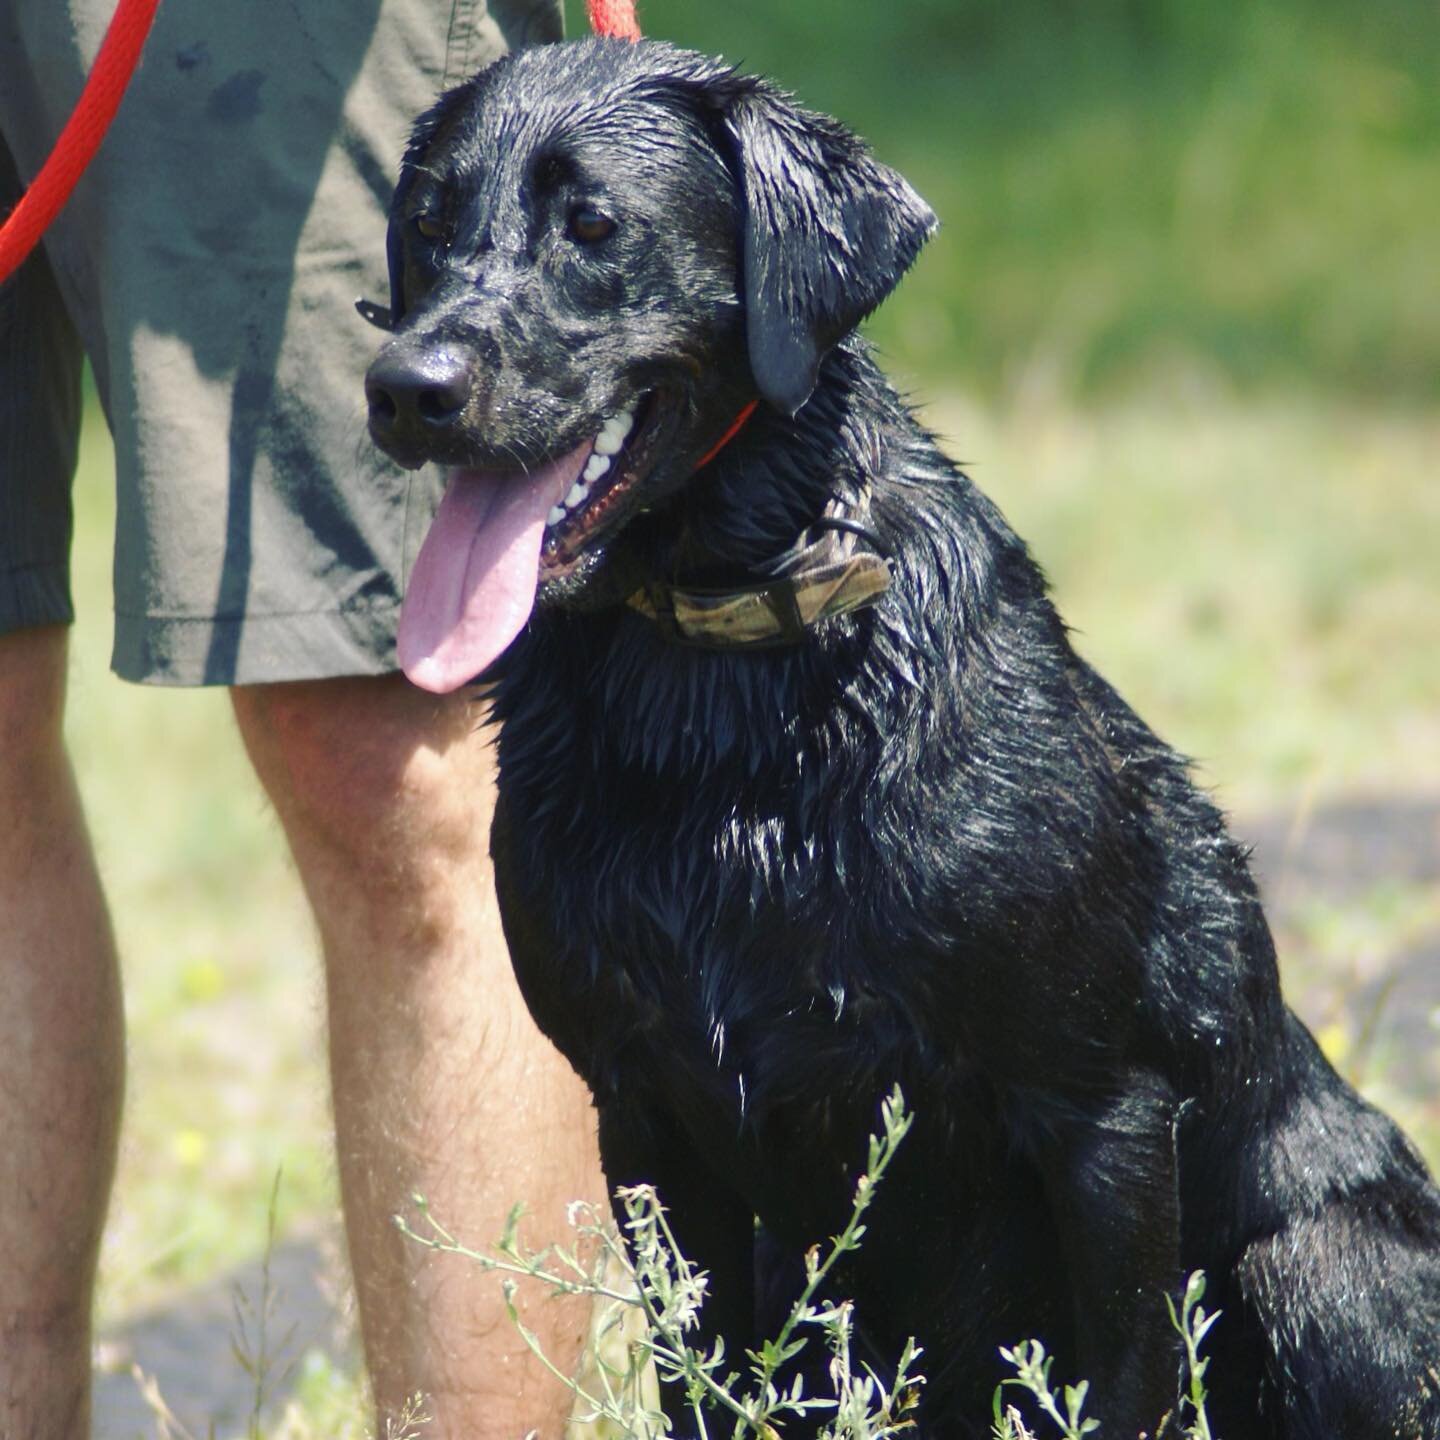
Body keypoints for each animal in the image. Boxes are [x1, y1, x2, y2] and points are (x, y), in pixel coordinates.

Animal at [365, 36, 1440, 1440]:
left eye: (593, 225)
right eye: (426, 227)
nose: (405, 391)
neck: (722, 705)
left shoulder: (1100, 1111)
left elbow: (1125, 1380)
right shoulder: (641, 1111)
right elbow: (696, 1376)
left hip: (1321, 1262)